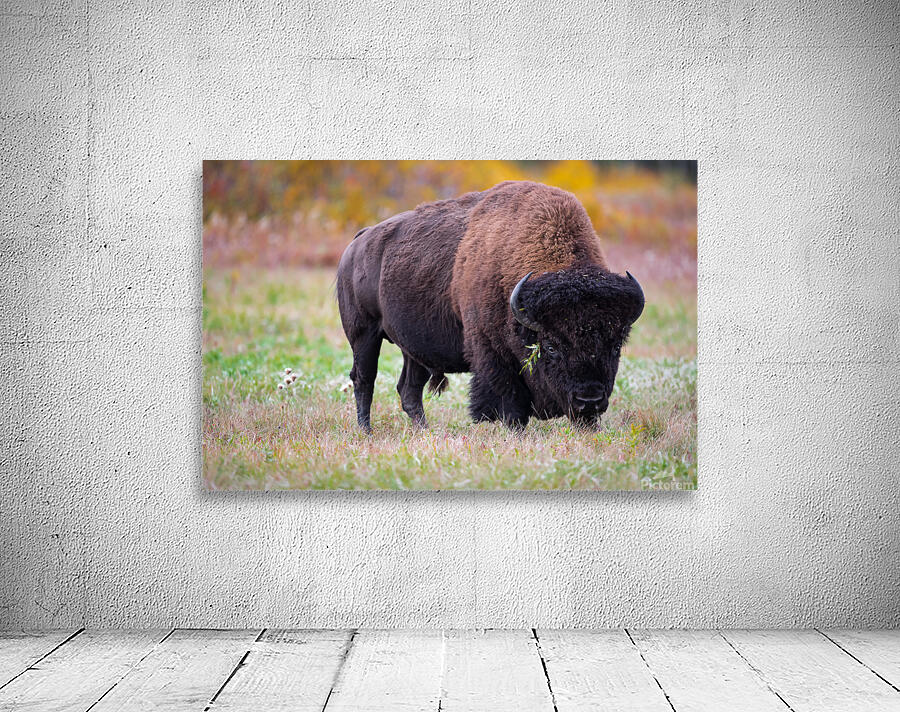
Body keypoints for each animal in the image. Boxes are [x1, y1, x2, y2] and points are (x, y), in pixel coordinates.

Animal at [336, 180, 644, 432]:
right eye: (551, 346)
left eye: (615, 345)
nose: (589, 400)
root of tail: (357, 243)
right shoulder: (492, 353)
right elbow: (510, 401)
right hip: (364, 335)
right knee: (364, 379)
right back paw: (366, 431)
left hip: (413, 350)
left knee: (409, 390)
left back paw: (424, 432)